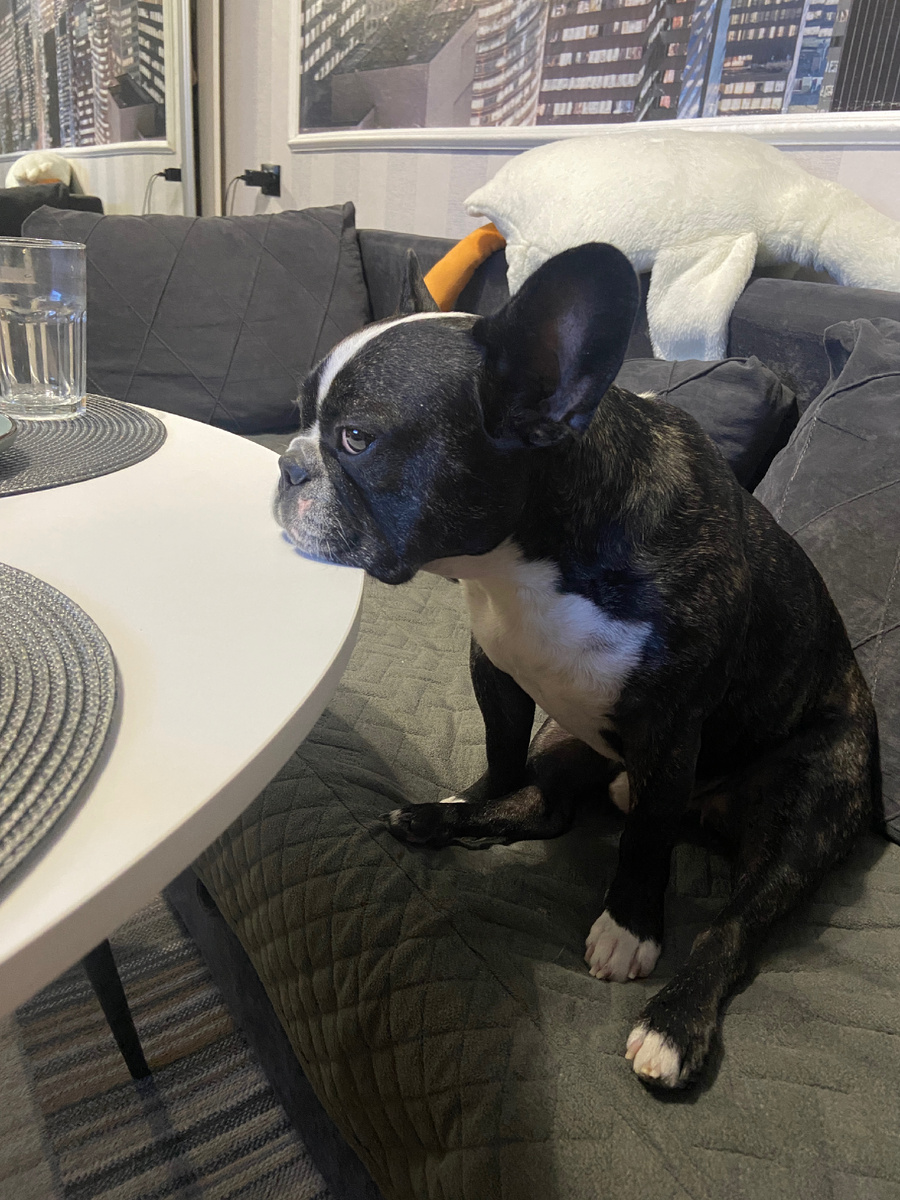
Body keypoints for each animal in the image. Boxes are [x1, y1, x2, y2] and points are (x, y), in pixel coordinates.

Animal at [274, 243, 881, 1089]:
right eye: (300, 418)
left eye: (358, 439)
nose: (287, 465)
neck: (526, 559)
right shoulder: (495, 669)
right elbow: (501, 759)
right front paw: (468, 799)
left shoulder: (671, 732)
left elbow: (647, 841)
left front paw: (630, 925)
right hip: (566, 738)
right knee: (543, 805)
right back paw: (435, 819)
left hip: (812, 800)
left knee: (733, 925)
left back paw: (672, 1023)